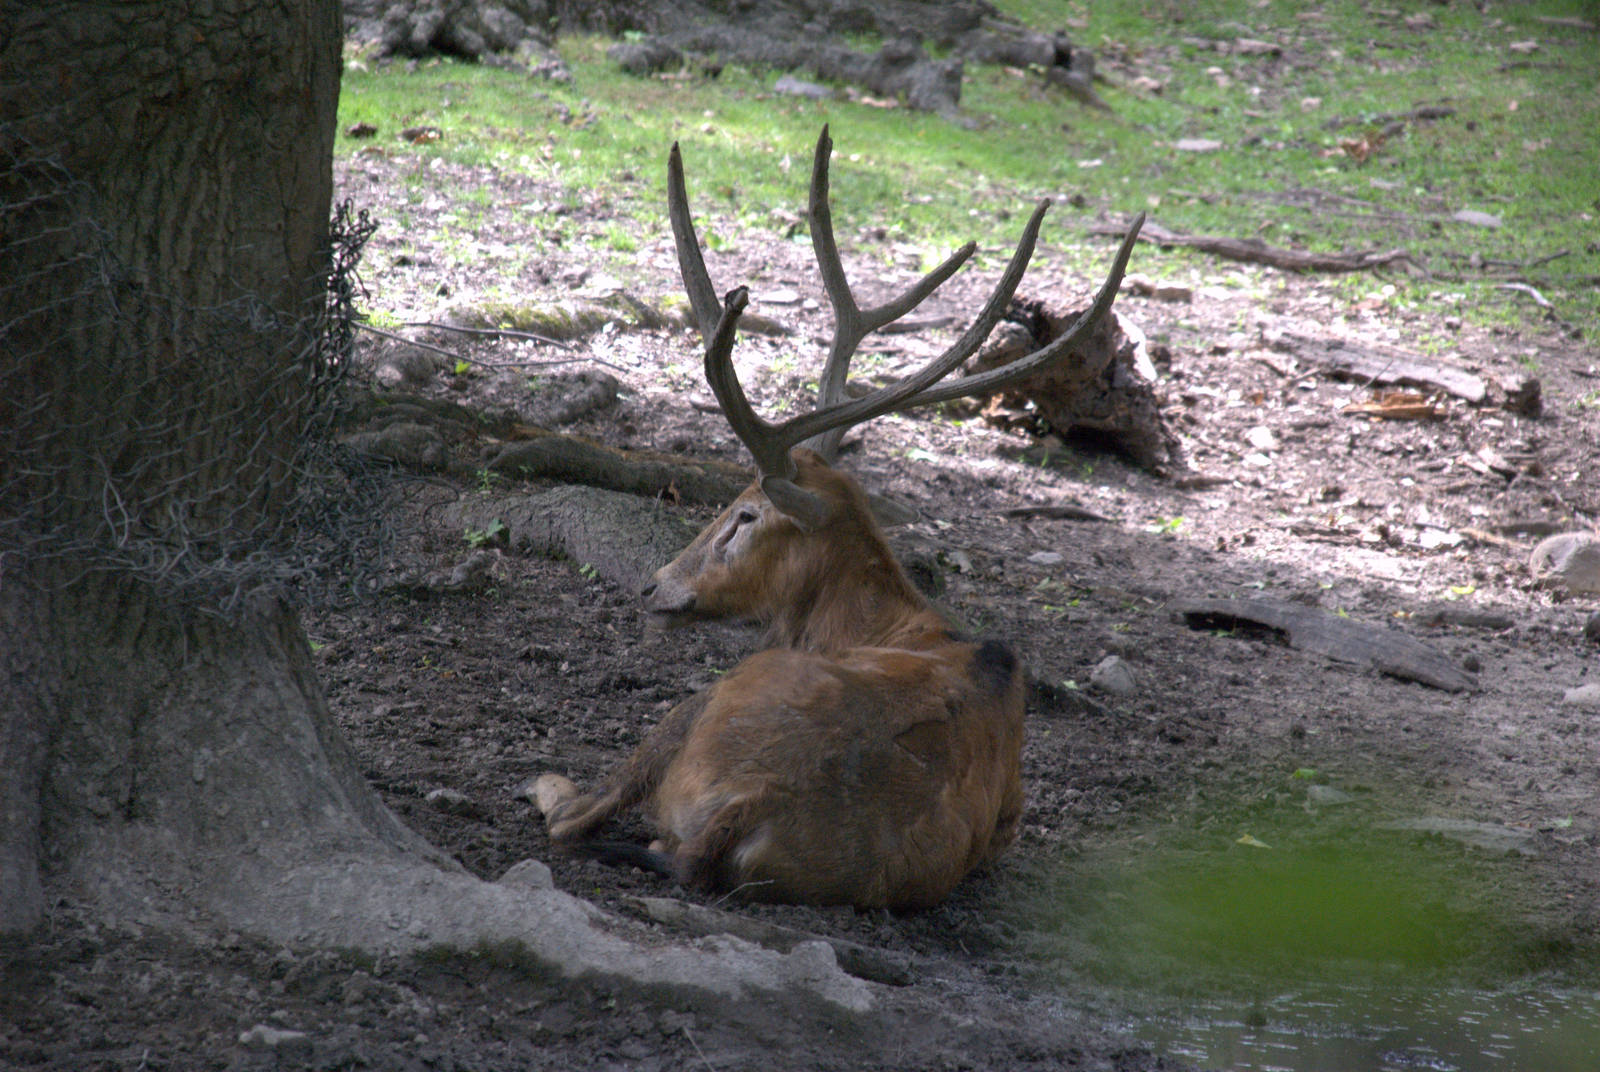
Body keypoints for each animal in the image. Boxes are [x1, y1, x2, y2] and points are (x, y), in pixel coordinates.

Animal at [532, 127, 1143, 910]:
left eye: (745, 514)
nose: (655, 584)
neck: (863, 626)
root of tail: (750, 802)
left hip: (713, 699)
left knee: (583, 813)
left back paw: (545, 783)